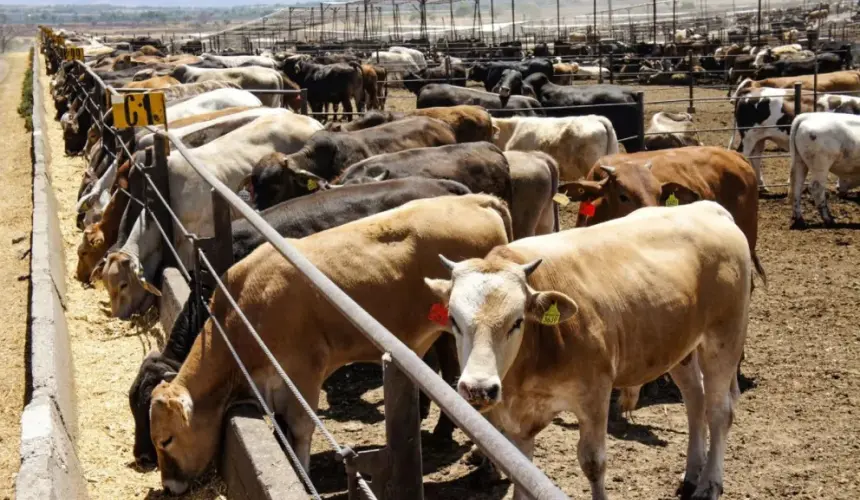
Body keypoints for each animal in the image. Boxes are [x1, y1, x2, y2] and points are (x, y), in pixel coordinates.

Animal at [149, 193, 512, 494]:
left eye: (166, 440)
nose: (168, 486)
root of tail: (476, 200)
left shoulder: (304, 370)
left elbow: (300, 428)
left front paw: (303, 477)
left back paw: (486, 469)